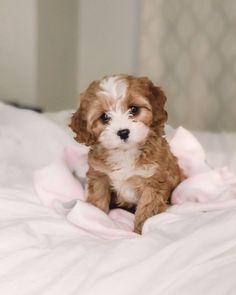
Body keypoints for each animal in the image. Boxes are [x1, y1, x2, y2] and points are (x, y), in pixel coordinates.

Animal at [69, 74, 182, 234]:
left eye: (133, 109)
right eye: (104, 117)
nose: (123, 132)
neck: (125, 152)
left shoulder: (154, 180)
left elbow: (147, 208)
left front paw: (141, 231)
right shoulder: (99, 176)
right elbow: (98, 197)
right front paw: (96, 217)